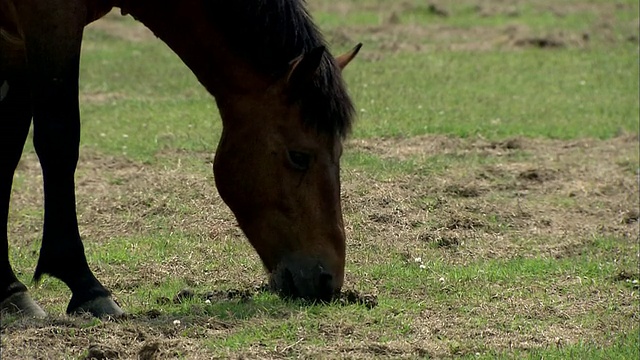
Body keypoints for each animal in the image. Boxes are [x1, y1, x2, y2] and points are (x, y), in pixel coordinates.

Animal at [0, 0, 360, 316]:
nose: (328, 280)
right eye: (299, 156)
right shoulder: (51, 18)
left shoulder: (15, 40)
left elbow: (8, 151)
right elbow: (59, 140)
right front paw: (85, 285)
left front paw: (10, 290)